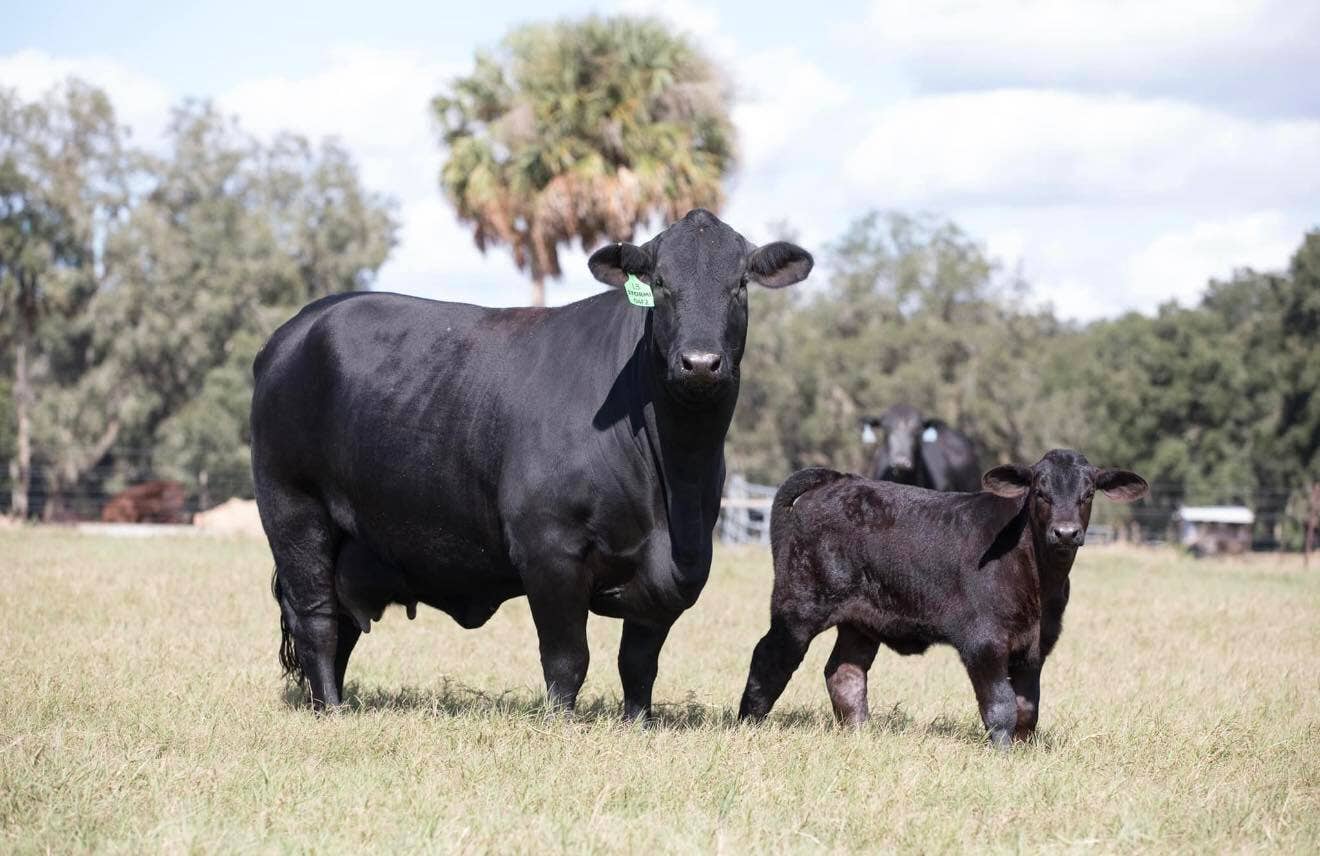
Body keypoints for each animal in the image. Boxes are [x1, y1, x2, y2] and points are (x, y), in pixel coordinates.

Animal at [251, 208, 813, 714]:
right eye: (659, 283)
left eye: (739, 284)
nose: (699, 363)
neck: (674, 482)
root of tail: (299, 326)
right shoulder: (549, 550)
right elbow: (567, 659)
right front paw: (560, 724)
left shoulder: (675, 571)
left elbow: (638, 663)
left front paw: (639, 722)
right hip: (294, 511)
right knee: (317, 620)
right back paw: (332, 711)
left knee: (341, 624)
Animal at [738, 449, 1148, 747]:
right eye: (1040, 492)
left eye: (1088, 493)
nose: (1065, 532)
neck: (1040, 579)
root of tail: (840, 480)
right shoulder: (983, 641)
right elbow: (1001, 706)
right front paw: (1002, 753)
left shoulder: (1036, 646)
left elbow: (1027, 709)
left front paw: (1024, 752)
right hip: (800, 604)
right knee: (770, 656)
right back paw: (748, 723)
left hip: (860, 620)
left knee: (845, 672)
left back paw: (860, 734)